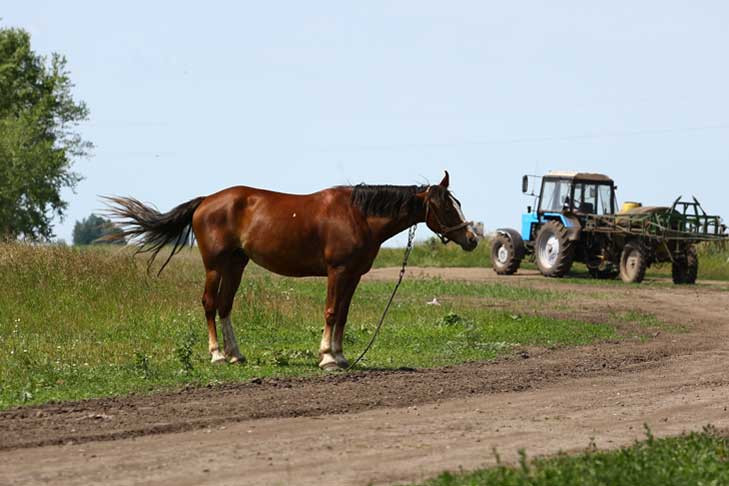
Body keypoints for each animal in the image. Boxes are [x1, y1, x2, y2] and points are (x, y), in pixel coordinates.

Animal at [105, 170, 474, 368]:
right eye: (446, 206)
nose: (471, 239)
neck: (357, 215)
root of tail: (205, 201)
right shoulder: (337, 271)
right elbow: (330, 312)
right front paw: (327, 358)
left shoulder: (353, 275)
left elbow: (343, 314)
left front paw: (341, 357)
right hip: (214, 266)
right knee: (210, 305)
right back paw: (217, 355)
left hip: (236, 265)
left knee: (225, 306)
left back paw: (236, 355)